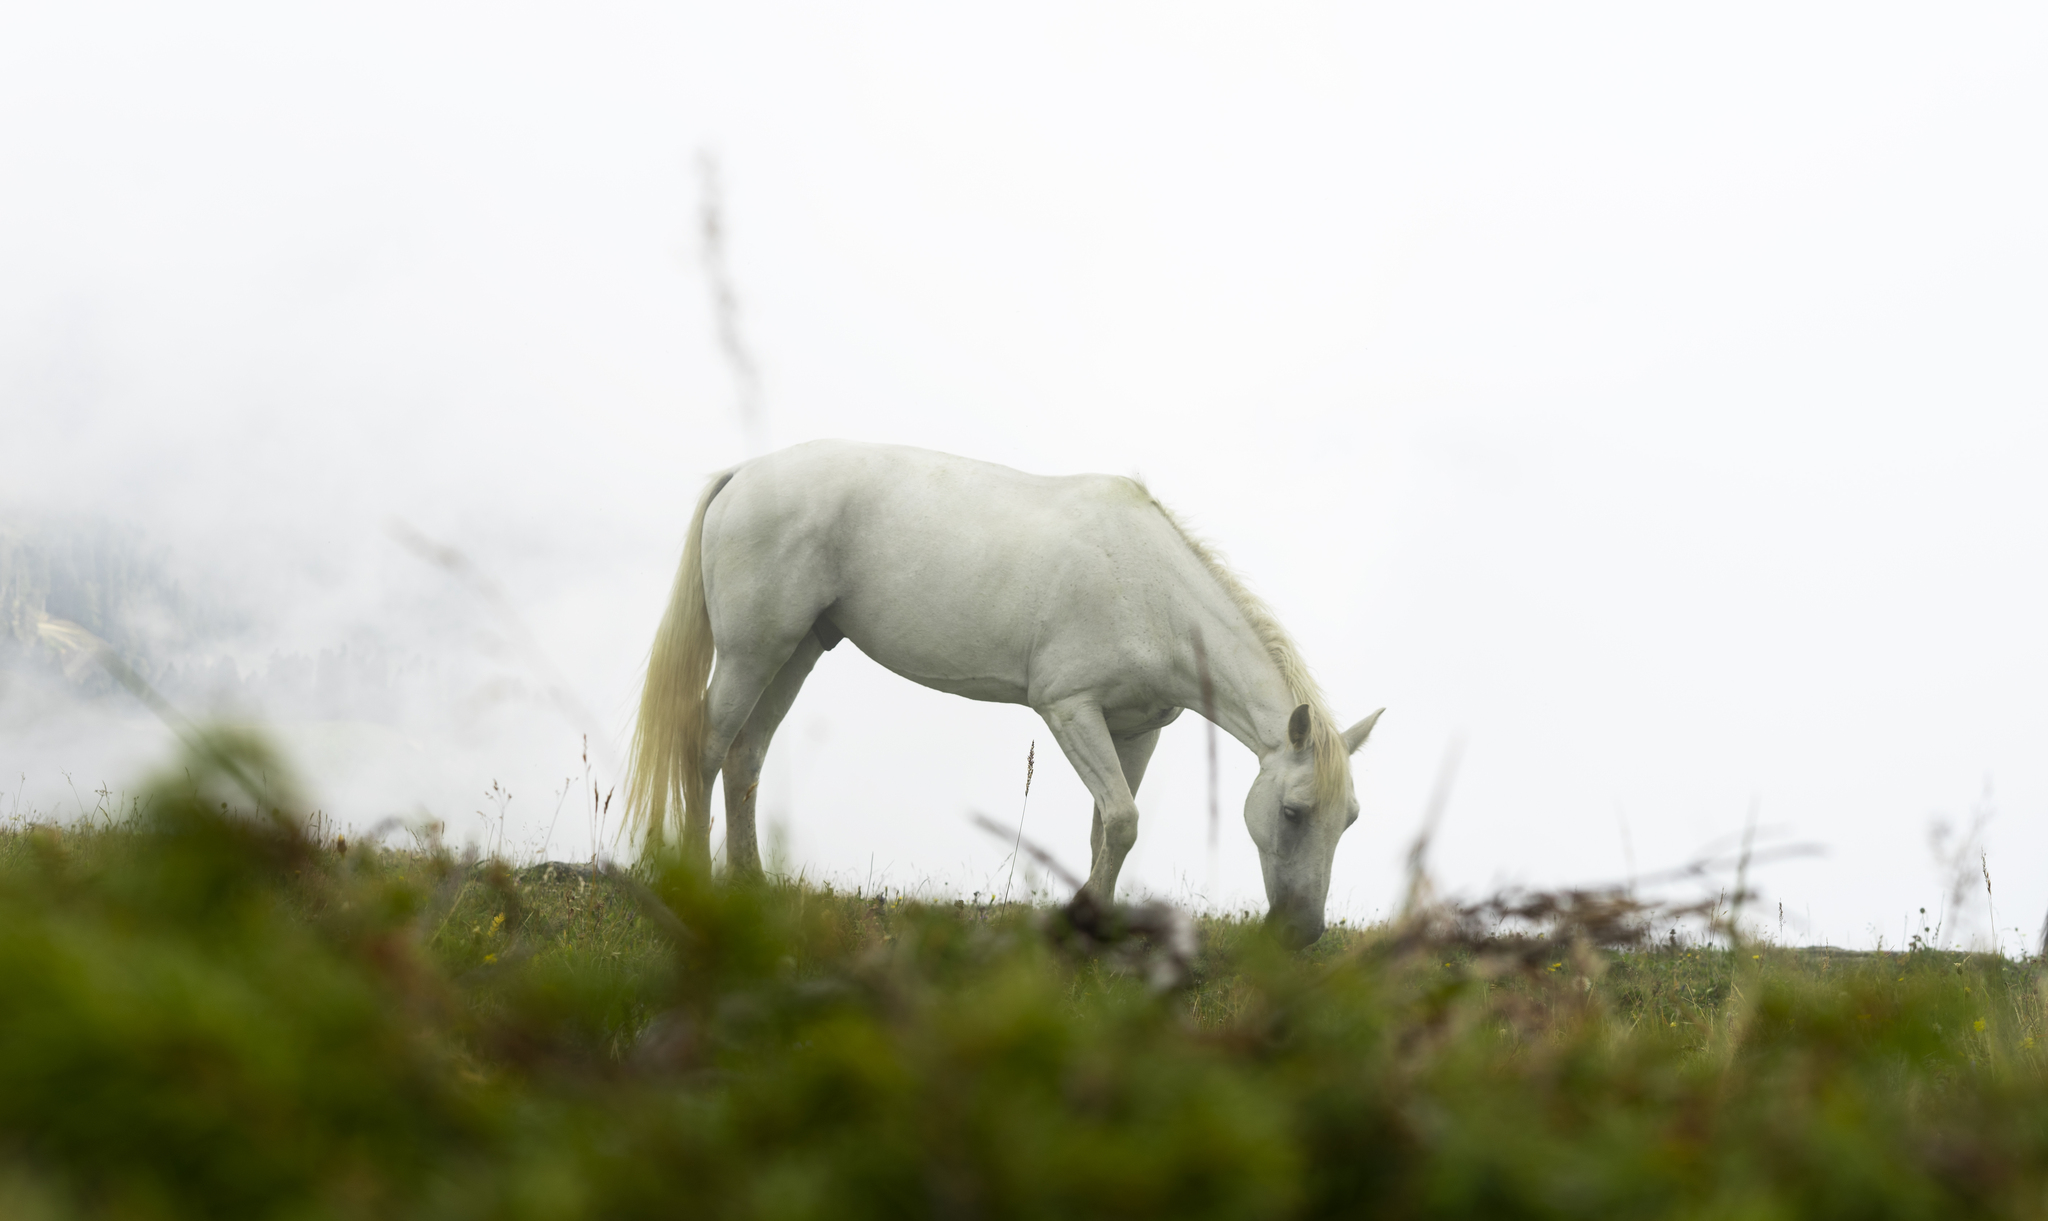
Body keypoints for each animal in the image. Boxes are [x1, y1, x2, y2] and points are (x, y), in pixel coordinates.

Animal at [626, 438, 1376, 942]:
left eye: (1350, 820)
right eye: (1294, 813)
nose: (1303, 933)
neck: (1151, 589)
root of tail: (744, 474)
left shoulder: (1135, 731)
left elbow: (1110, 827)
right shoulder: (1070, 709)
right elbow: (1122, 820)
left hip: (794, 653)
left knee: (745, 757)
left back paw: (751, 888)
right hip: (753, 653)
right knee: (706, 747)